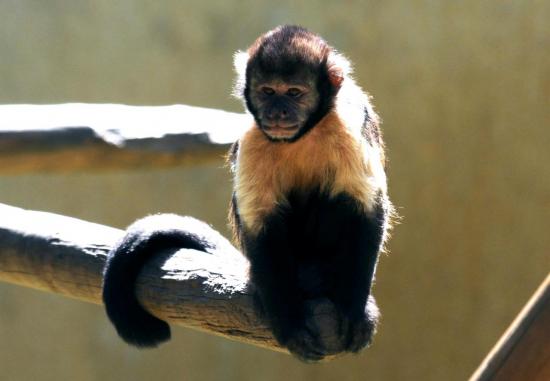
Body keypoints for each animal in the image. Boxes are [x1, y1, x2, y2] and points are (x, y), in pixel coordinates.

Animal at [102, 25, 392, 360]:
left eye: (294, 93)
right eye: (267, 92)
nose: (277, 112)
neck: (304, 135)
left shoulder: (345, 127)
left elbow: (367, 209)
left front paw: (353, 310)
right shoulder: (255, 137)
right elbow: (261, 223)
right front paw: (289, 323)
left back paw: (320, 273)